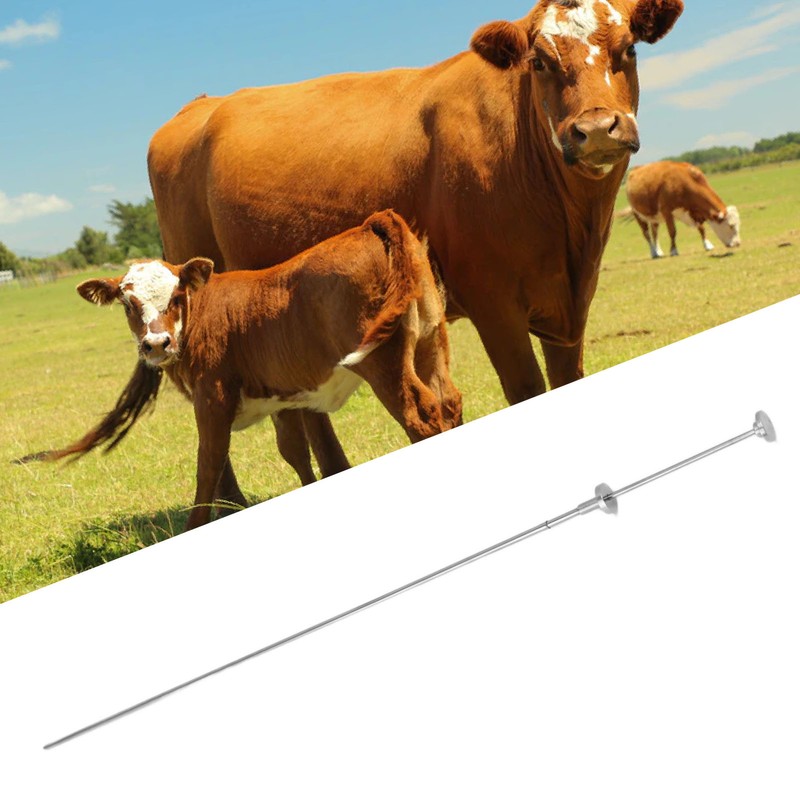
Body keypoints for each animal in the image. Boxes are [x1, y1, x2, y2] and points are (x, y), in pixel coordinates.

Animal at [39, 211, 462, 530]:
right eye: (128, 304)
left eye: (176, 296)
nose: (157, 344)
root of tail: (370, 223)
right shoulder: (284, 398)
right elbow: (295, 452)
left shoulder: (212, 398)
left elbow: (210, 464)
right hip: (430, 343)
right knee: (449, 403)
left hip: (384, 362)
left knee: (421, 417)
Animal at [147, 0, 682, 493]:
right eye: (540, 62)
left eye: (629, 48)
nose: (595, 129)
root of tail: (201, 106)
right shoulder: (494, 304)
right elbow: (526, 388)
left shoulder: (569, 306)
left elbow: (568, 379)